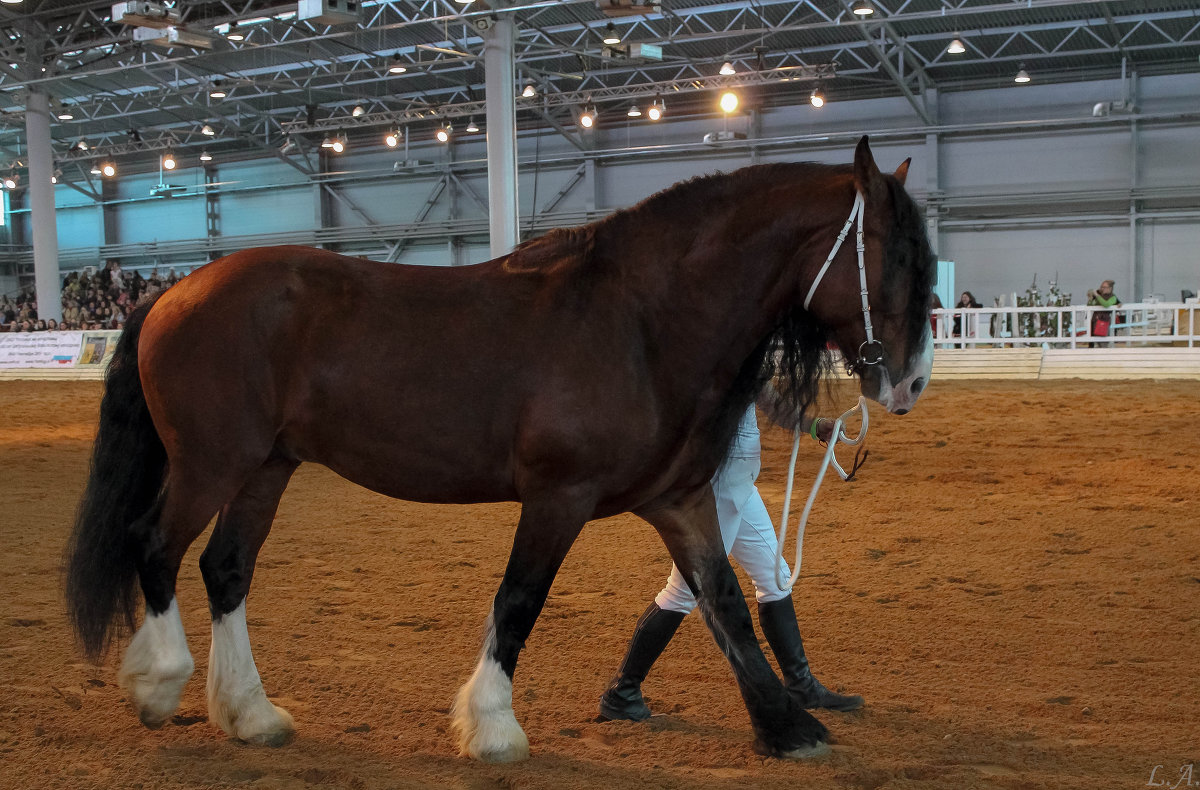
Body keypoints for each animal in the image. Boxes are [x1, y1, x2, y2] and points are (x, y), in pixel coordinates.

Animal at [63, 138, 936, 758]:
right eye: (894, 254)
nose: (910, 383)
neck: (642, 323)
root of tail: (171, 292)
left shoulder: (679, 501)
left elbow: (724, 602)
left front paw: (788, 727)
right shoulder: (558, 497)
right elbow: (519, 599)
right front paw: (492, 726)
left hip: (266, 468)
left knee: (226, 569)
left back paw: (252, 714)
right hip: (210, 464)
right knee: (155, 546)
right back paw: (159, 686)